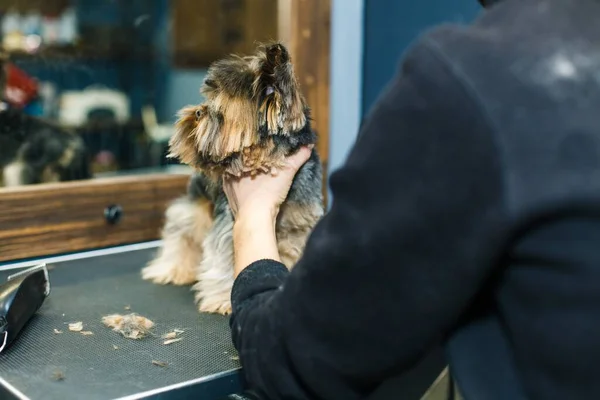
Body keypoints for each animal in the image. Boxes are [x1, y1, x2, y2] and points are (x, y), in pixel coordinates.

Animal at [142, 42, 324, 314]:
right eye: (208, 98)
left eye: (221, 106)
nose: (197, 112)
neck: (264, 162)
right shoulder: (230, 223)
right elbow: (226, 256)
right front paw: (222, 298)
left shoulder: (298, 226)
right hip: (196, 206)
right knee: (181, 231)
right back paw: (172, 269)